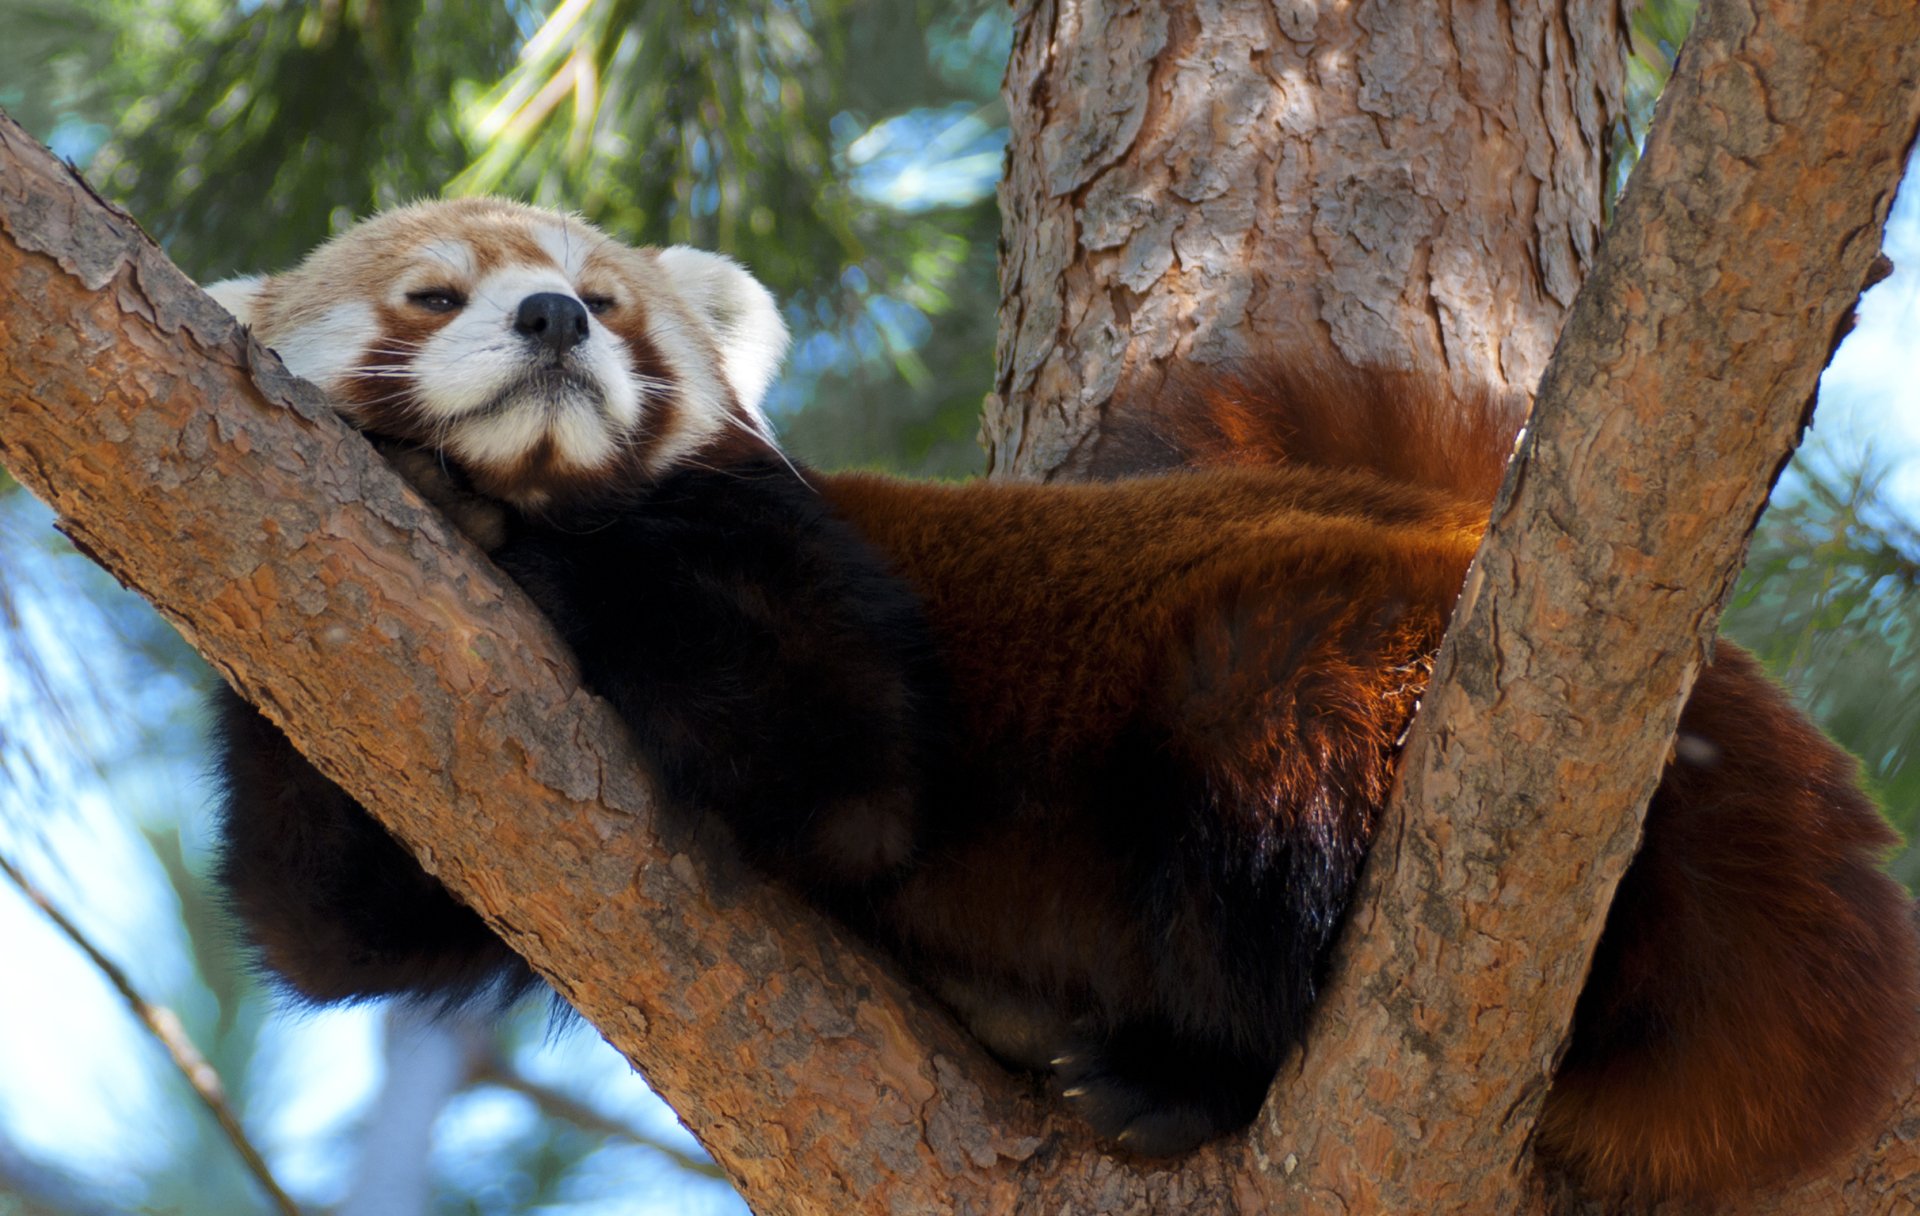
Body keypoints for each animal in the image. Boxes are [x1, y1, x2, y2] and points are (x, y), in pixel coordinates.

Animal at [204, 196, 1920, 1201]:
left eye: (606, 302)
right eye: (435, 298)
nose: (554, 320)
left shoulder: (804, 571)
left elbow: (841, 768)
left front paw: (552, 542)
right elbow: (336, 924)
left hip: (1343, 674)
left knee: (1271, 785)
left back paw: (1179, 1076)